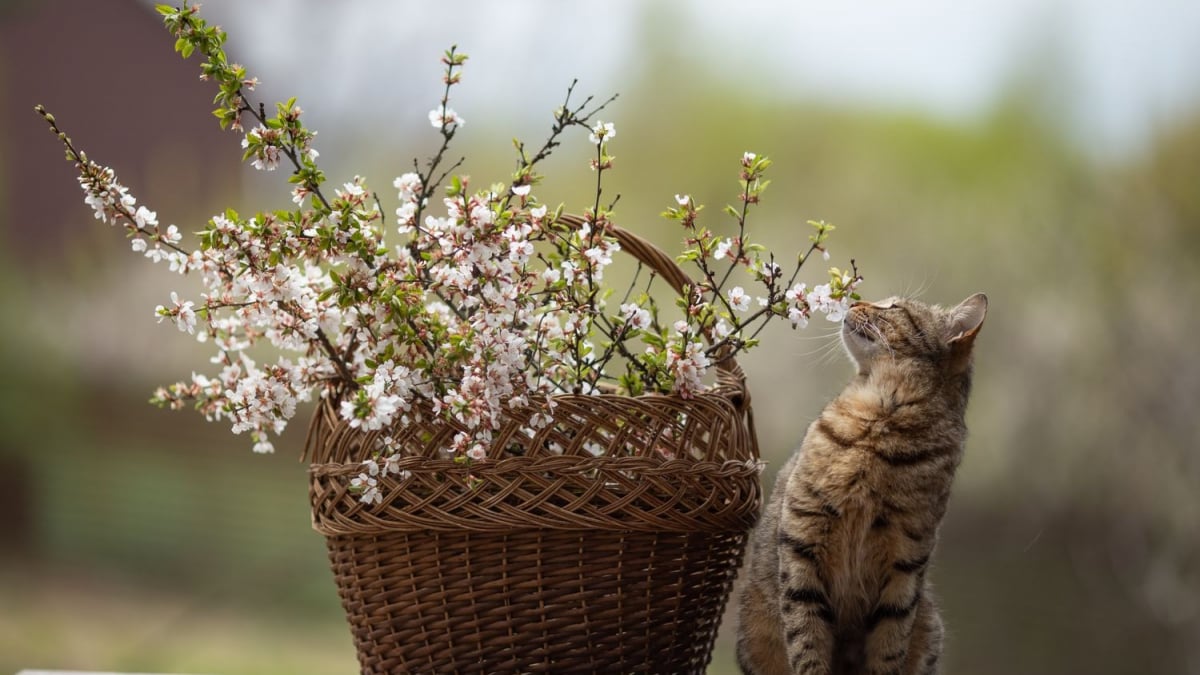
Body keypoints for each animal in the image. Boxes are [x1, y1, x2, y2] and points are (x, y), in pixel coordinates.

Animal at [734, 291, 988, 672]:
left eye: (893, 307)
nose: (853, 301)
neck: (880, 419)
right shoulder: (801, 545)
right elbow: (806, 643)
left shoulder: (905, 567)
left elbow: (889, 649)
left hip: (928, 622)